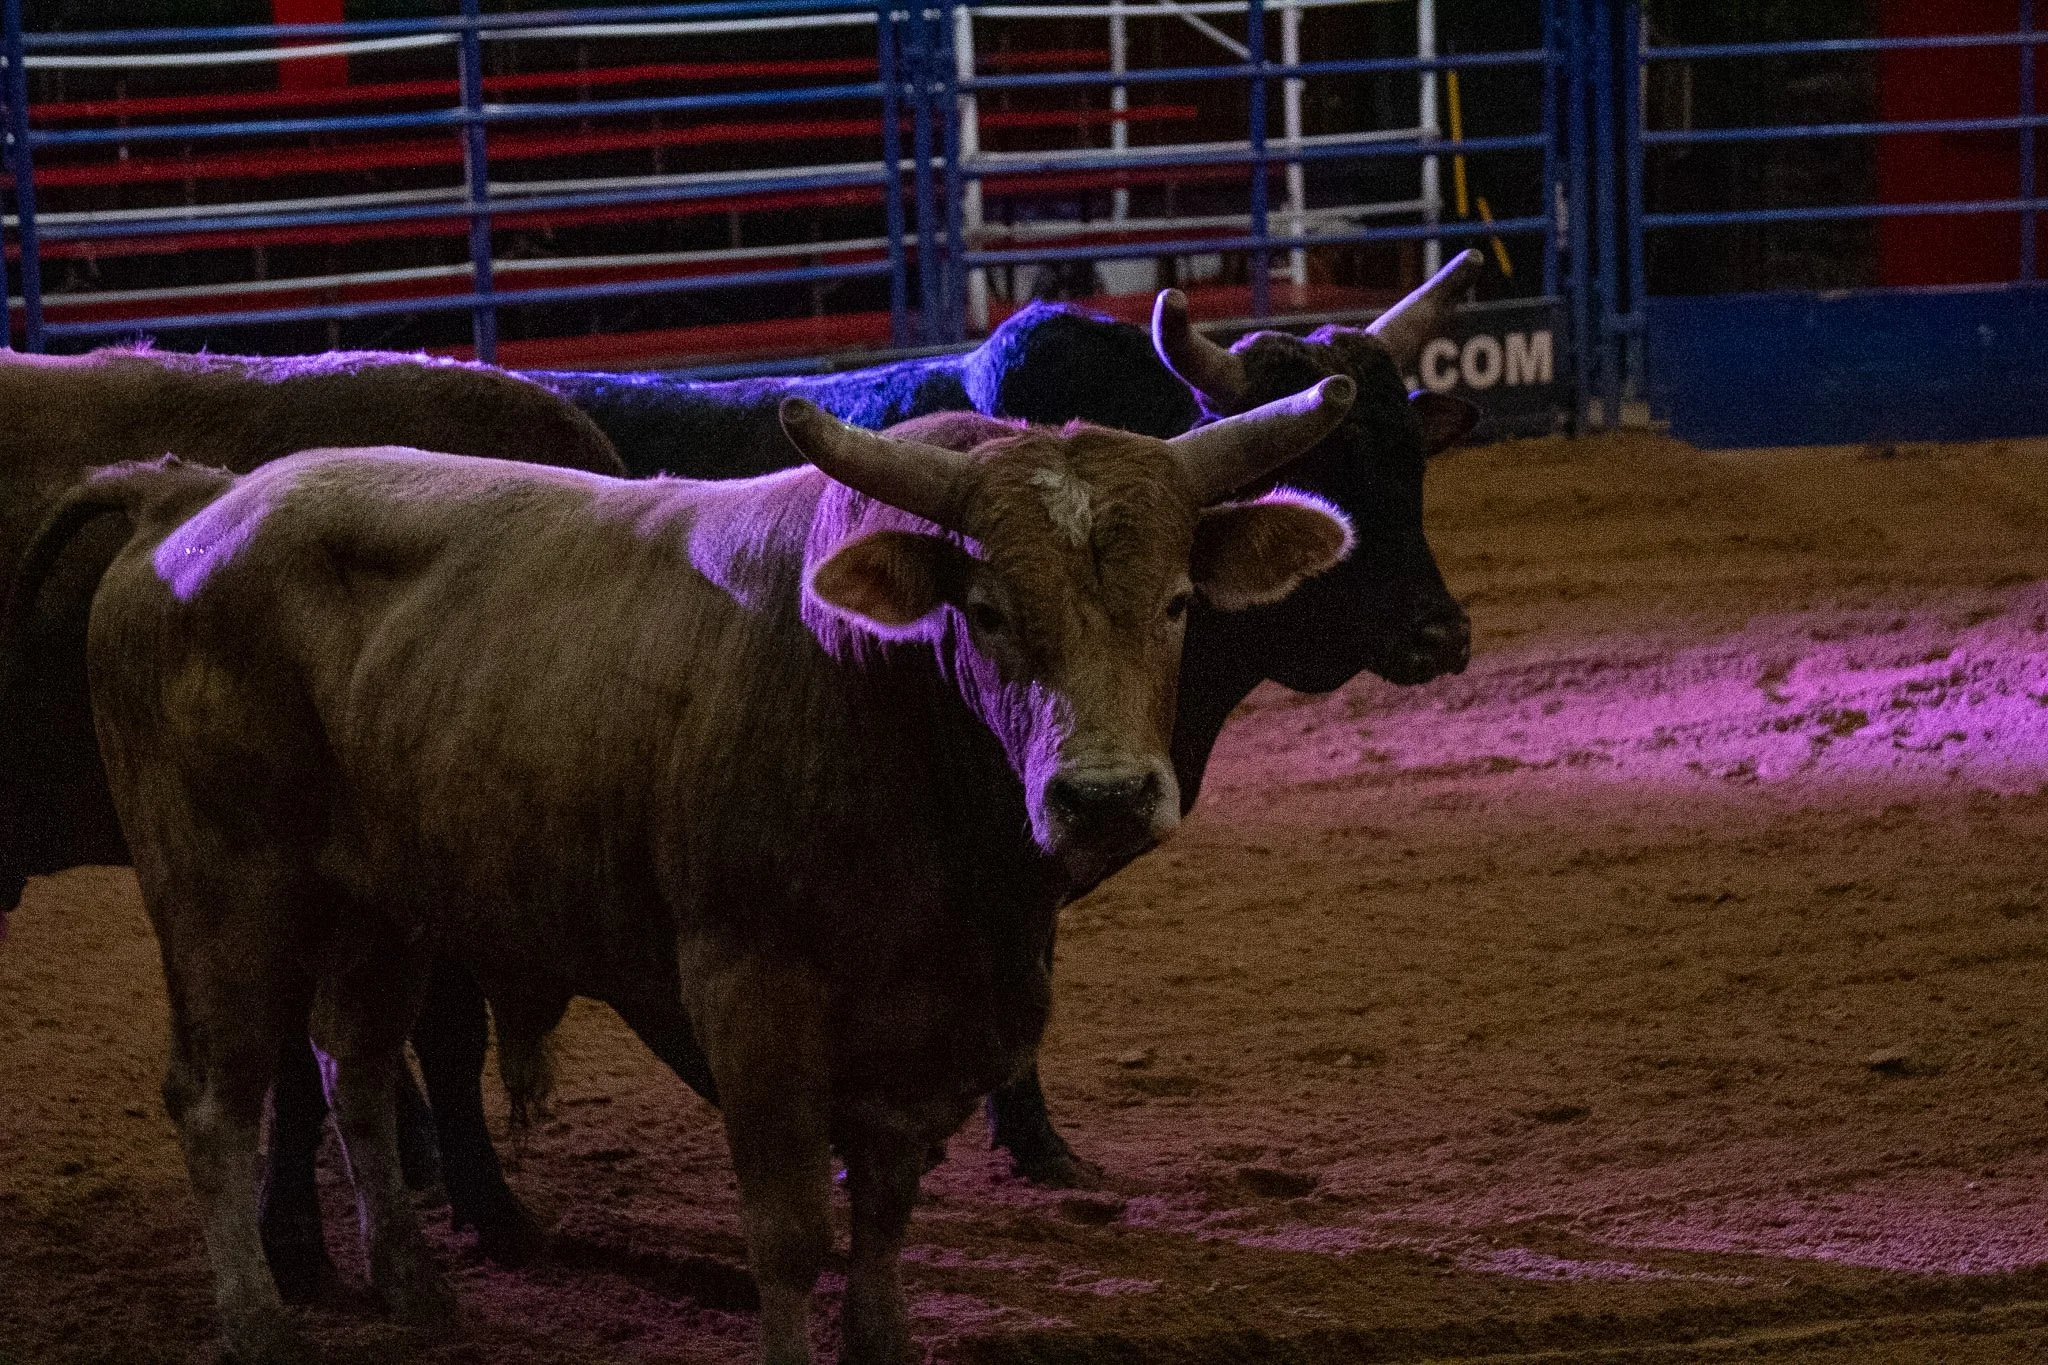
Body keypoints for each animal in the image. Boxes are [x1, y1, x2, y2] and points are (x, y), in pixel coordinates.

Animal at [52, 375, 1357, 1364]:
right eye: (984, 608)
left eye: (1178, 602)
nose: (1101, 795)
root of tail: (196, 498)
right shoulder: (749, 996)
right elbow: (789, 1229)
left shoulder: (927, 1023)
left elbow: (884, 1210)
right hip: (220, 893)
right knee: (217, 1097)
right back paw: (257, 1317)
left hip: (380, 904)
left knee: (354, 1067)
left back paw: (415, 1289)